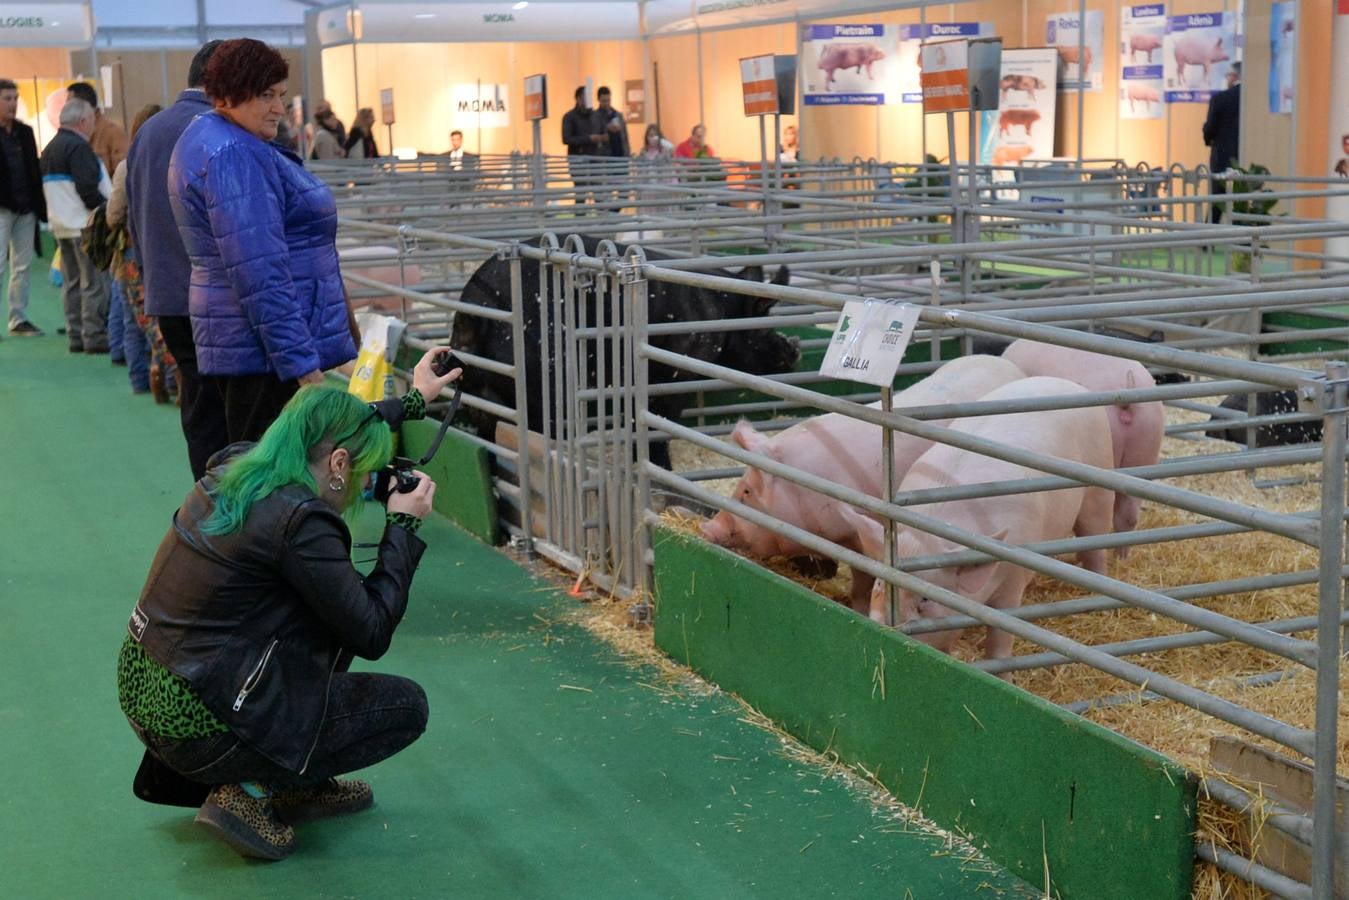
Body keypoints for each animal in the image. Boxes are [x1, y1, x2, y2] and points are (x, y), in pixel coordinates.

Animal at [863, 375, 1116, 661]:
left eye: (925, 599)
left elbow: (1000, 633)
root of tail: (1067, 383)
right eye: (880, 583)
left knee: (1096, 539)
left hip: (1099, 481)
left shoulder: (1013, 578)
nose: (883, 625)